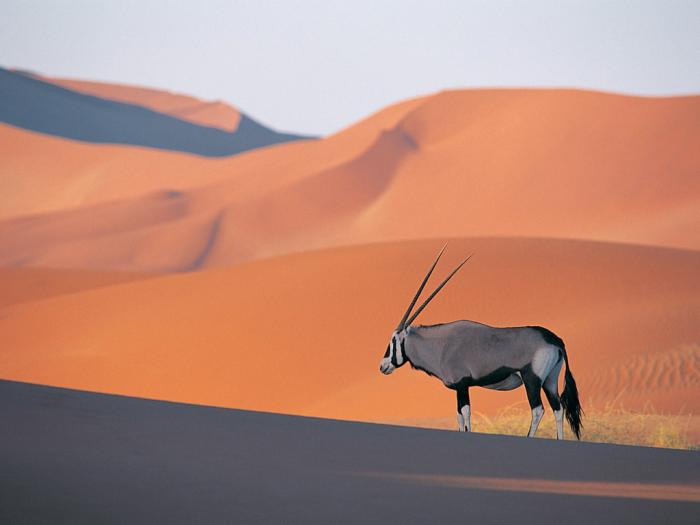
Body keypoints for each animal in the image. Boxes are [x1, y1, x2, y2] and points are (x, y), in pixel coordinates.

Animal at [379, 245, 583, 439]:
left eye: (393, 340)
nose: (383, 366)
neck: (441, 345)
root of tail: (555, 340)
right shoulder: (458, 388)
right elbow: (459, 417)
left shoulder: (462, 385)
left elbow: (465, 414)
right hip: (549, 380)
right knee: (558, 409)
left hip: (532, 379)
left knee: (538, 410)